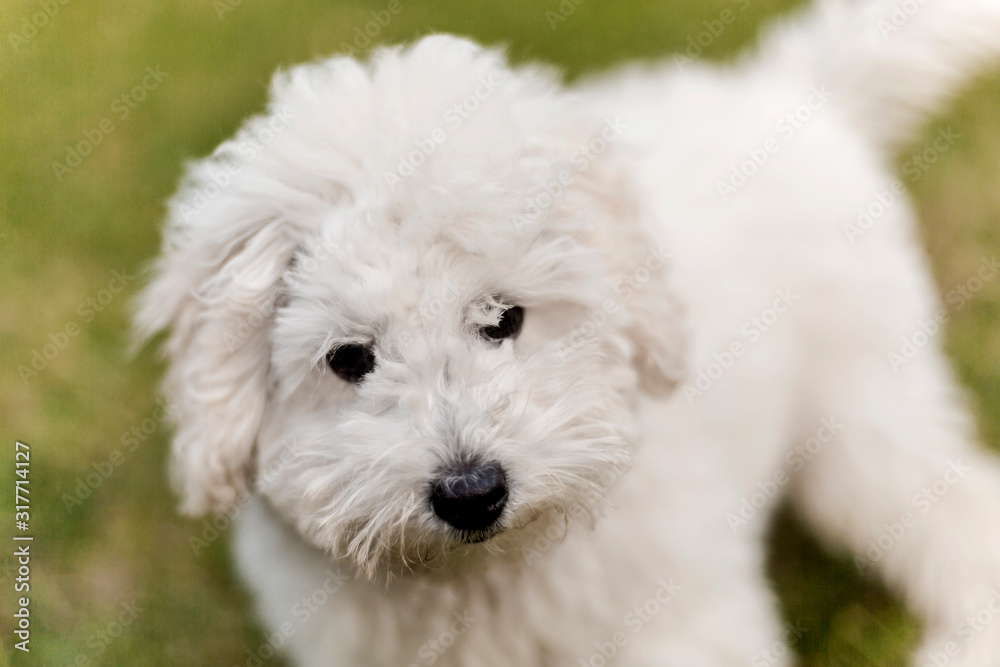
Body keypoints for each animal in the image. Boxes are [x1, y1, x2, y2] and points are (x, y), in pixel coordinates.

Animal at [137, 2, 1000, 664]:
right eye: (350, 358)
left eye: (503, 318)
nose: (471, 493)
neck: (483, 577)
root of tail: (792, 91)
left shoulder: (682, 621)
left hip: (862, 400)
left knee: (957, 503)